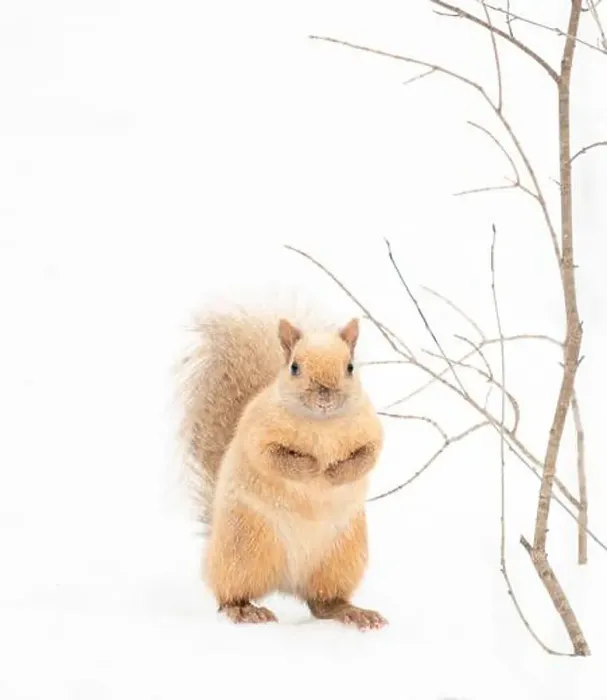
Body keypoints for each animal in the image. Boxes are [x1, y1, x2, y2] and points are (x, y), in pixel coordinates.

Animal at [177, 303, 387, 631]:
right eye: (295, 367)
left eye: (350, 367)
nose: (325, 394)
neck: (322, 424)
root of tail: (290, 582)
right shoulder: (259, 431)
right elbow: (274, 457)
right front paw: (312, 469)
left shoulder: (370, 430)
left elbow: (367, 457)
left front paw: (335, 473)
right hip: (243, 552)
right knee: (228, 594)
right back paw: (245, 610)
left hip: (340, 559)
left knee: (322, 602)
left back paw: (352, 612)